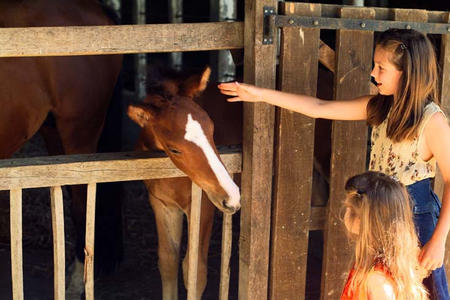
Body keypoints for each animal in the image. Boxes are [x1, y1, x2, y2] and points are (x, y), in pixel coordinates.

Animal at [128, 67, 241, 298]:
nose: (232, 197)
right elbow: (168, 261)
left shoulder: (204, 205)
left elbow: (194, 270)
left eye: (212, 130)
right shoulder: (163, 205)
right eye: (174, 149)